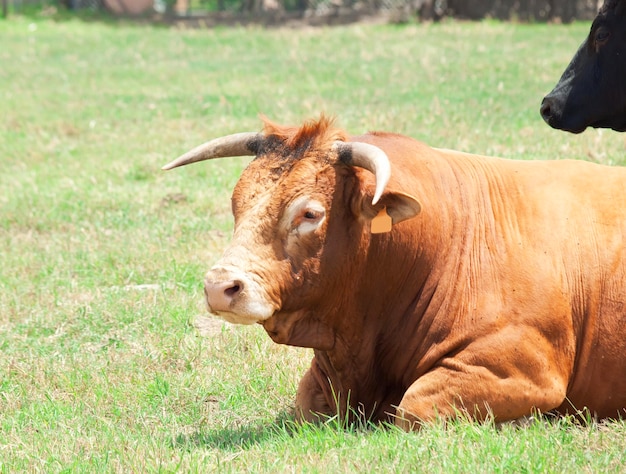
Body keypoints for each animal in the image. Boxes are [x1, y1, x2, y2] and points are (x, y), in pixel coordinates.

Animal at [162, 116, 626, 428]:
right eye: (236, 203)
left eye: (310, 214)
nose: (220, 287)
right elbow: (306, 405)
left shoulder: (525, 369)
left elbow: (414, 407)